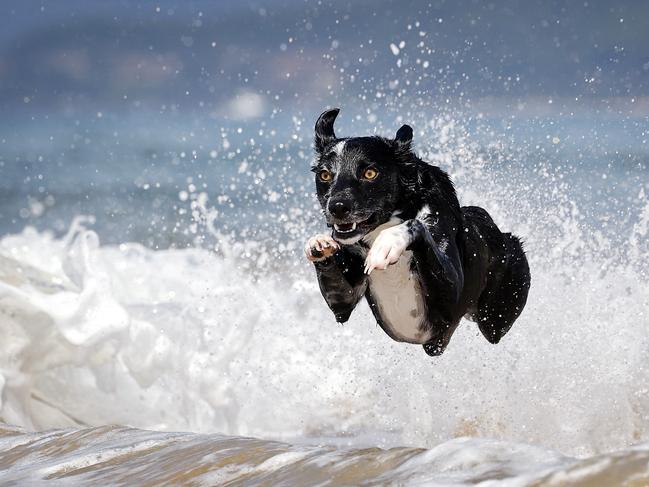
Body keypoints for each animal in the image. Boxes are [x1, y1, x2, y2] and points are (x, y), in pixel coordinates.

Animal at [302, 108, 528, 356]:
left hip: (497, 314)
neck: (385, 223)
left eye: (370, 173)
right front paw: (320, 244)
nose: (337, 207)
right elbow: (341, 303)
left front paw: (388, 244)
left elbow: (416, 226)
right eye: (324, 175)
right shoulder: (343, 303)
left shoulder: (449, 304)